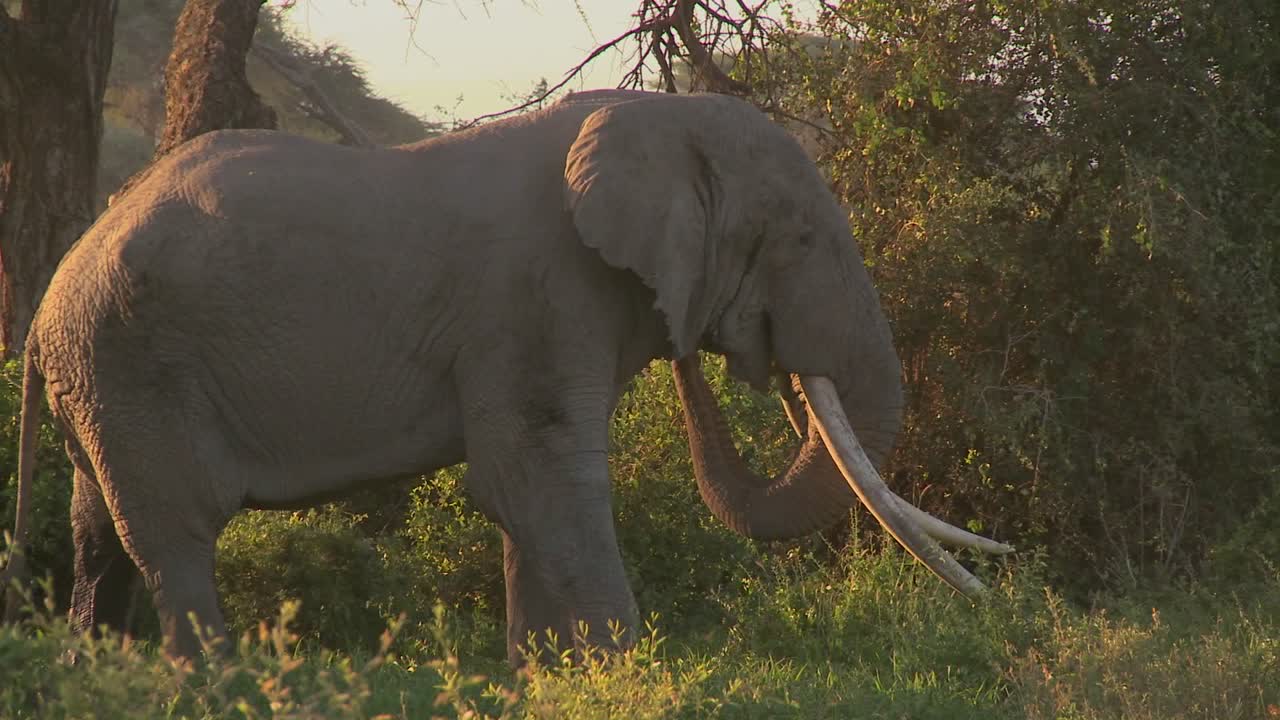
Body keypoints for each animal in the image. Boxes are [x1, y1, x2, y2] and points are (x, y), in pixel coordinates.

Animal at [1, 89, 1010, 666]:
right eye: (798, 238)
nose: (1004, 591)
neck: (649, 117)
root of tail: (44, 315)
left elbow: (526, 504)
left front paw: (549, 682)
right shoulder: (535, 297)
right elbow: (540, 483)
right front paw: (627, 678)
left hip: (102, 384)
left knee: (101, 541)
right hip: (133, 366)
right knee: (173, 541)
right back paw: (219, 686)